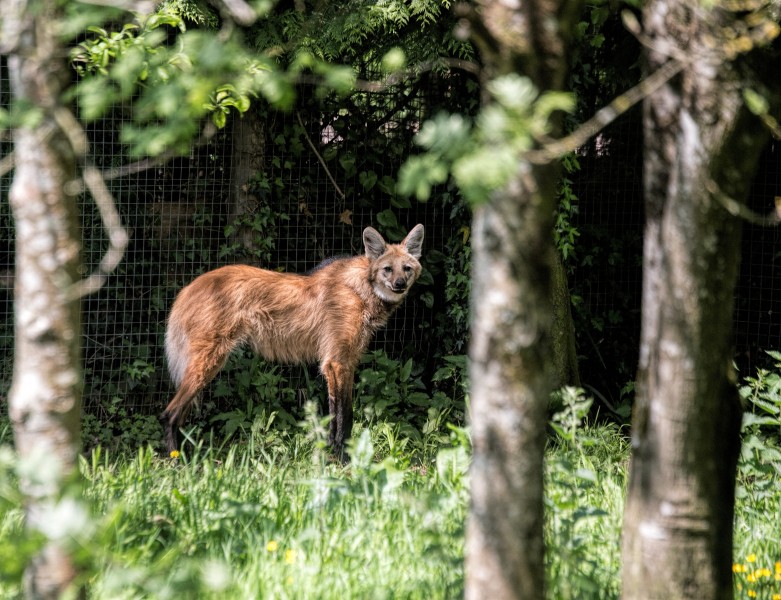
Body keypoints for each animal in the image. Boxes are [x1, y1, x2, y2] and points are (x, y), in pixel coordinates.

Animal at [161, 224, 424, 454]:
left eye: (406, 268)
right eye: (387, 269)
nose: (399, 284)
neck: (362, 289)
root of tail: (189, 287)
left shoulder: (340, 361)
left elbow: (335, 414)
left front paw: (331, 454)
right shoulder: (337, 362)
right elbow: (344, 415)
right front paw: (344, 459)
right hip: (208, 362)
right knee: (169, 414)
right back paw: (178, 461)